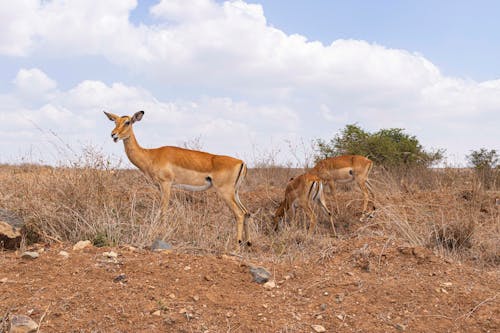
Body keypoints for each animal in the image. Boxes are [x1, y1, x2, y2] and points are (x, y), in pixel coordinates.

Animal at [102, 111, 250, 246]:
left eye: (127, 122)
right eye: (115, 122)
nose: (113, 134)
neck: (150, 155)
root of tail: (241, 162)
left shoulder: (166, 184)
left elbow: (163, 209)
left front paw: (161, 233)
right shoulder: (160, 186)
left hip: (225, 192)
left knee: (239, 214)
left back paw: (237, 244)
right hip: (235, 193)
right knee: (246, 212)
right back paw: (248, 242)